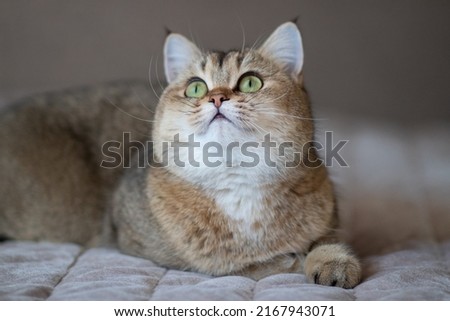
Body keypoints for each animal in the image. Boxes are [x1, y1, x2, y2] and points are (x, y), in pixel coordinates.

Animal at [0, 23, 360, 288]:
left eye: (250, 82)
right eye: (196, 87)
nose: (217, 97)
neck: (237, 177)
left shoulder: (329, 218)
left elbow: (322, 242)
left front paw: (332, 261)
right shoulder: (136, 237)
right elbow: (238, 265)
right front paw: (285, 260)